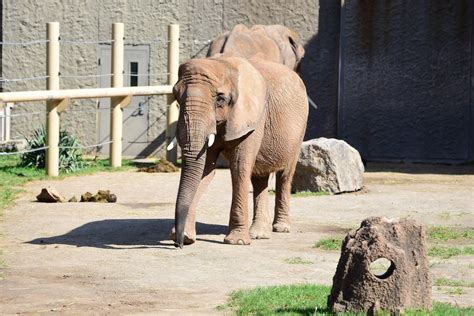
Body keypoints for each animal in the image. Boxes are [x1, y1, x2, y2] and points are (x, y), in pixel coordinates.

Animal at [169, 55, 308, 247]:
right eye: (176, 96)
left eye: (220, 99)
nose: (178, 245)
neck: (224, 64)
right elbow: (205, 169)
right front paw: (187, 238)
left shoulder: (254, 118)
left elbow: (239, 167)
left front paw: (237, 242)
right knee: (259, 178)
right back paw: (258, 234)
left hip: (299, 130)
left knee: (285, 175)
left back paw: (280, 228)